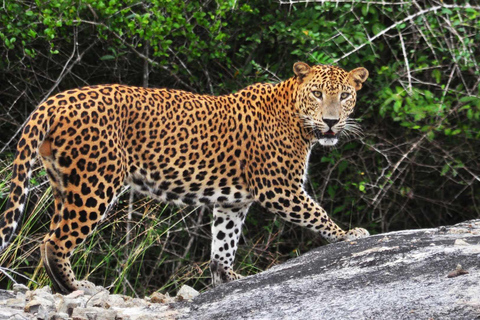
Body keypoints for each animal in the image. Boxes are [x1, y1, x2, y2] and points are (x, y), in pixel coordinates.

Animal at [0, 61, 370, 294]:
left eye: (345, 95)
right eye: (317, 94)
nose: (331, 122)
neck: (297, 118)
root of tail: (56, 99)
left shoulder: (232, 203)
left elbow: (223, 244)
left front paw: (226, 277)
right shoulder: (279, 187)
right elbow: (316, 213)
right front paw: (348, 234)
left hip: (64, 185)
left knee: (50, 235)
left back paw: (63, 287)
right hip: (96, 182)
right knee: (55, 242)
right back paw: (74, 287)